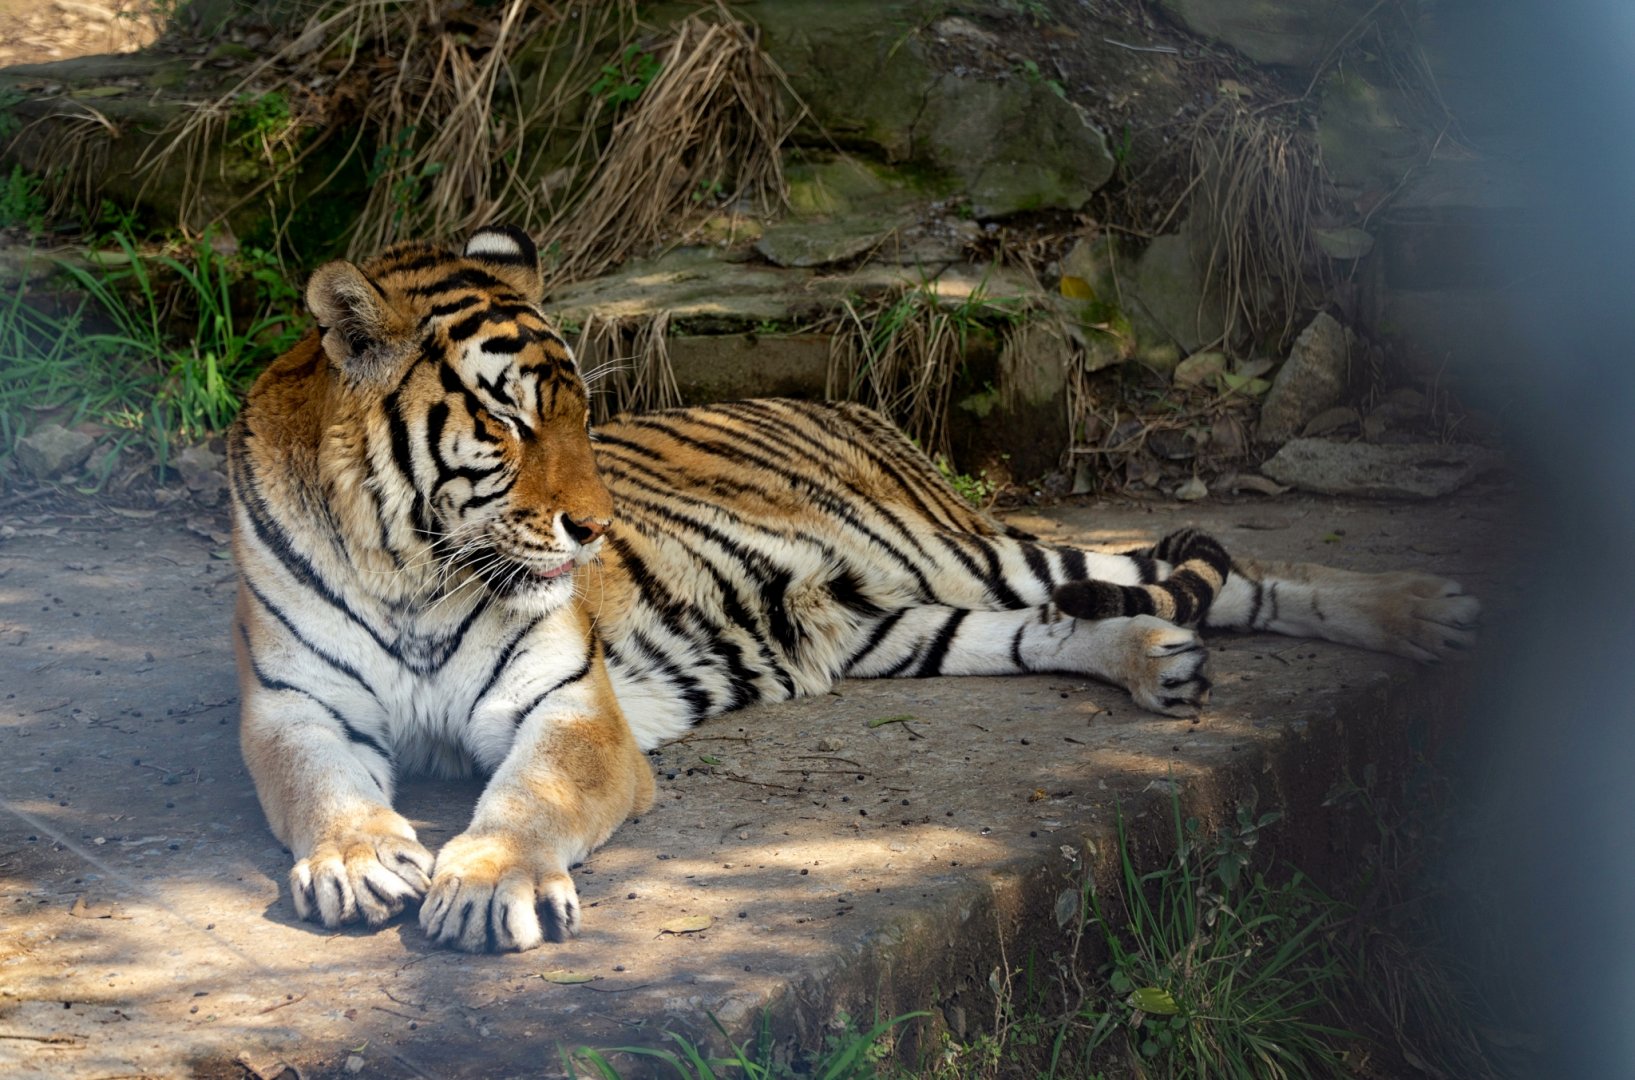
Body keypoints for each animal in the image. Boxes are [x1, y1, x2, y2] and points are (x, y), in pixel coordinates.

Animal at [227, 225, 1480, 953]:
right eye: (507, 421)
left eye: (584, 412)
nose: (597, 529)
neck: (411, 564)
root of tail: (855, 405)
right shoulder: (294, 708)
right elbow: (315, 789)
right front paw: (355, 858)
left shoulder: (567, 706)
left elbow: (529, 797)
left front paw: (490, 885)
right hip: (904, 624)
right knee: (1056, 627)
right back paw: (1154, 664)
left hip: (958, 550)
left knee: (1234, 578)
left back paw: (1430, 613)